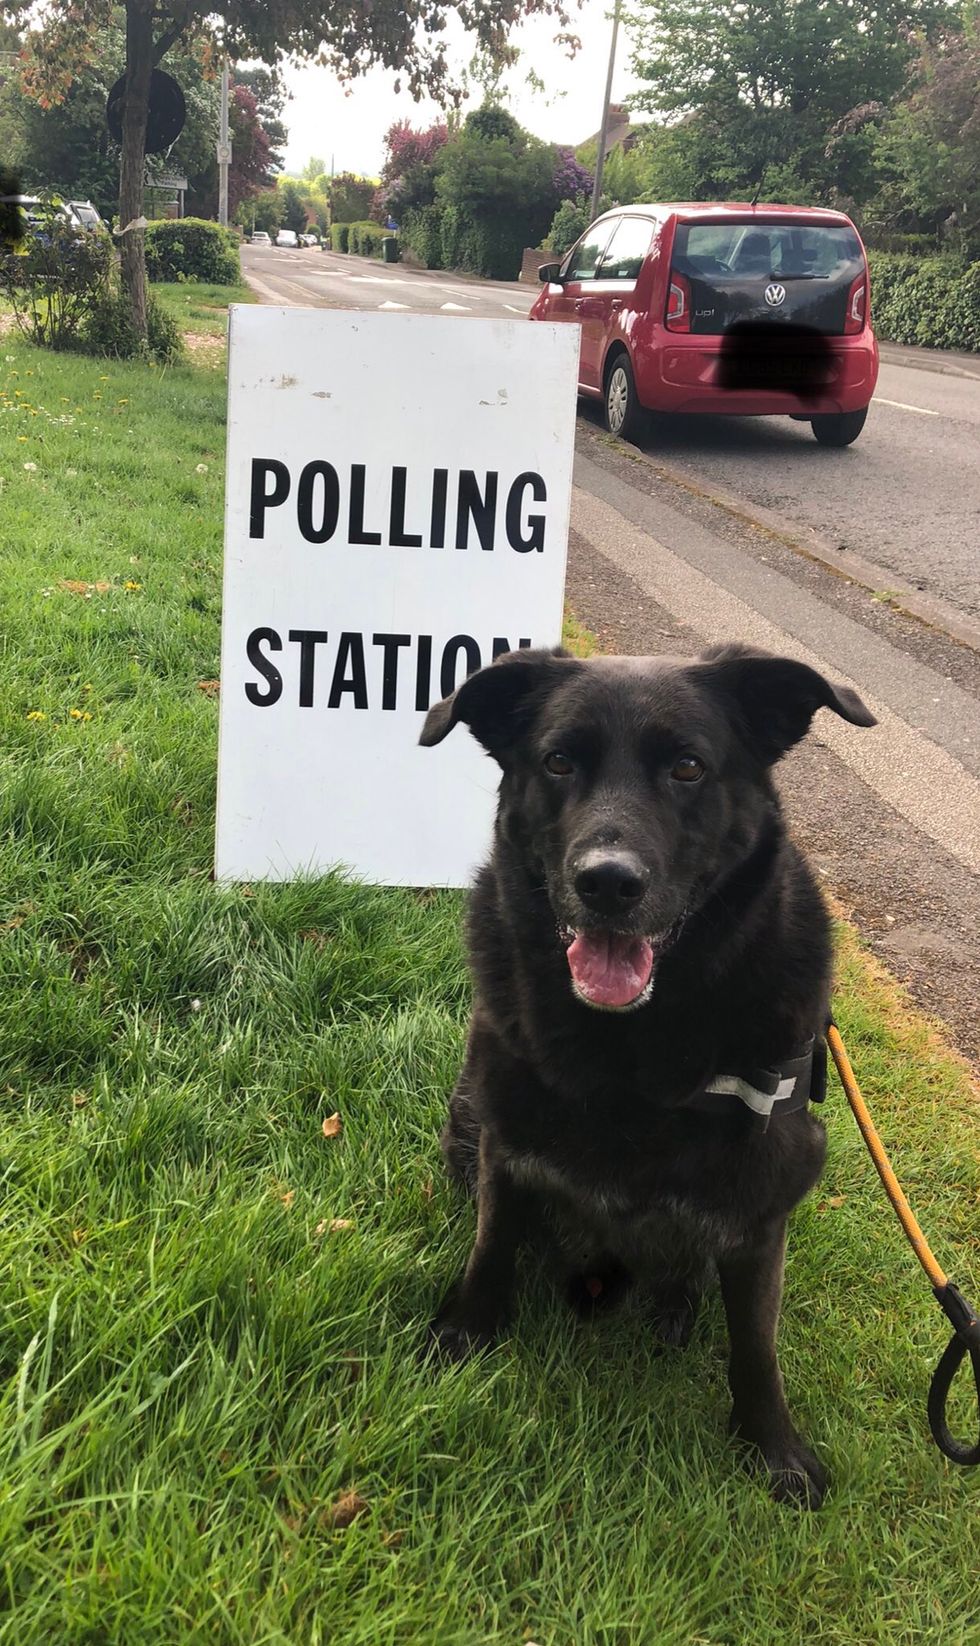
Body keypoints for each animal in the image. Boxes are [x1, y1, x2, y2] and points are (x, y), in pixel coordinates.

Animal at [420, 638, 876, 1507]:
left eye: (688, 768)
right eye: (559, 761)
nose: (607, 882)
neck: (629, 1048)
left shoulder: (764, 1201)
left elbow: (756, 1347)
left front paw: (772, 1444)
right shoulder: (503, 1137)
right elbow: (491, 1247)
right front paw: (464, 1332)